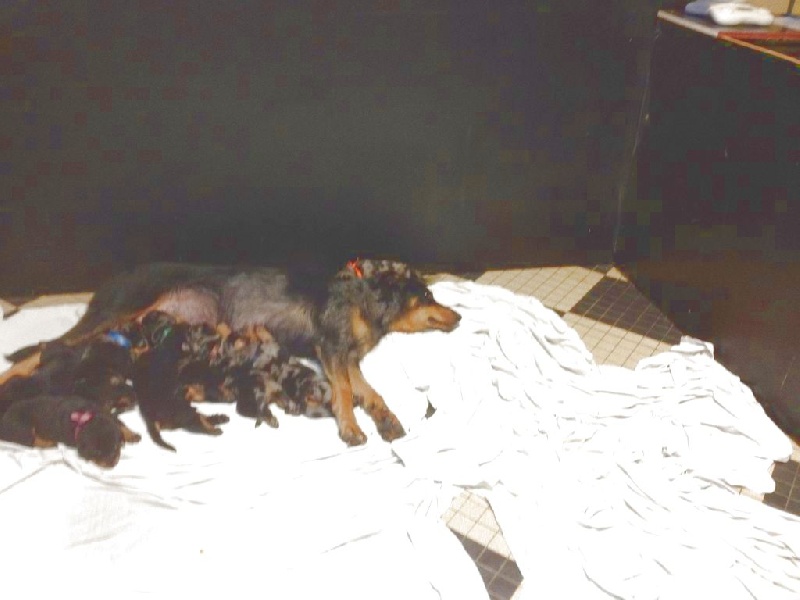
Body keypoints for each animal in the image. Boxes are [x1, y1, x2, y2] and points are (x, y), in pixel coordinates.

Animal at [0, 394, 141, 468]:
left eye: (115, 447)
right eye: (97, 453)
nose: (112, 463)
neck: (86, 419)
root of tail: (4, 420)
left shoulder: (107, 415)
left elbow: (120, 424)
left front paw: (132, 435)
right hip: (23, 429)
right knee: (31, 441)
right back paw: (47, 442)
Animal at [6, 258, 461, 446]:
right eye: (427, 296)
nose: (458, 315)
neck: (364, 291)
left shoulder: (346, 358)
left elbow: (370, 392)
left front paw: (386, 420)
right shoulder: (331, 349)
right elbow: (348, 393)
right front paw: (349, 427)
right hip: (115, 315)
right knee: (44, 350)